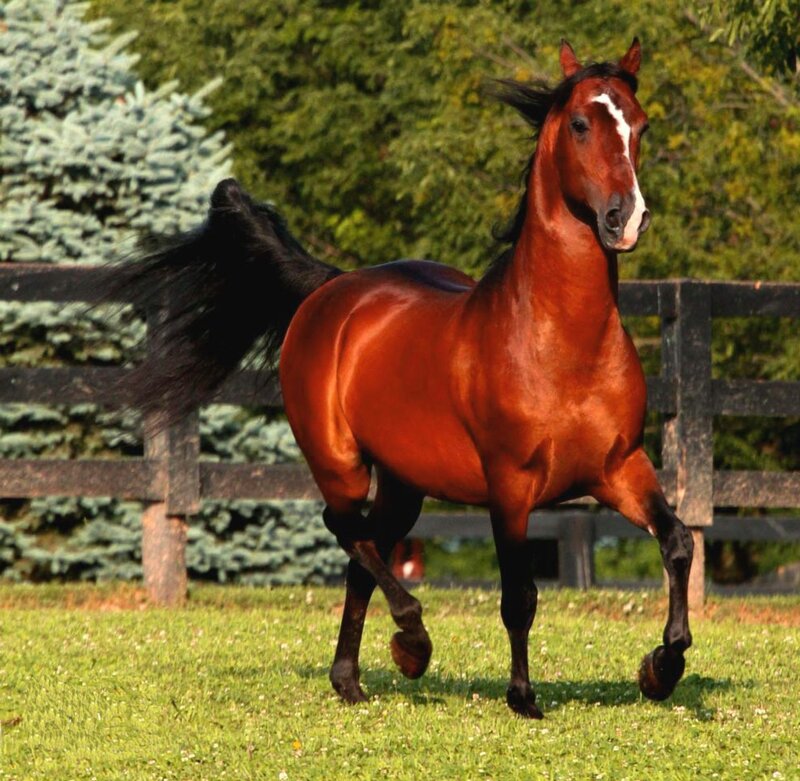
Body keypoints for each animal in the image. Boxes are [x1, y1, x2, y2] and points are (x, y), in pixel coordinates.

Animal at [114, 38, 693, 719]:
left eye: (641, 126)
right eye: (580, 124)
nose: (626, 218)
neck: (560, 342)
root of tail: (333, 288)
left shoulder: (621, 468)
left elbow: (677, 541)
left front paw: (661, 667)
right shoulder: (509, 486)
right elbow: (519, 595)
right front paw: (523, 696)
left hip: (404, 482)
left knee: (363, 552)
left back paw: (350, 678)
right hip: (338, 462)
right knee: (345, 529)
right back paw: (411, 643)